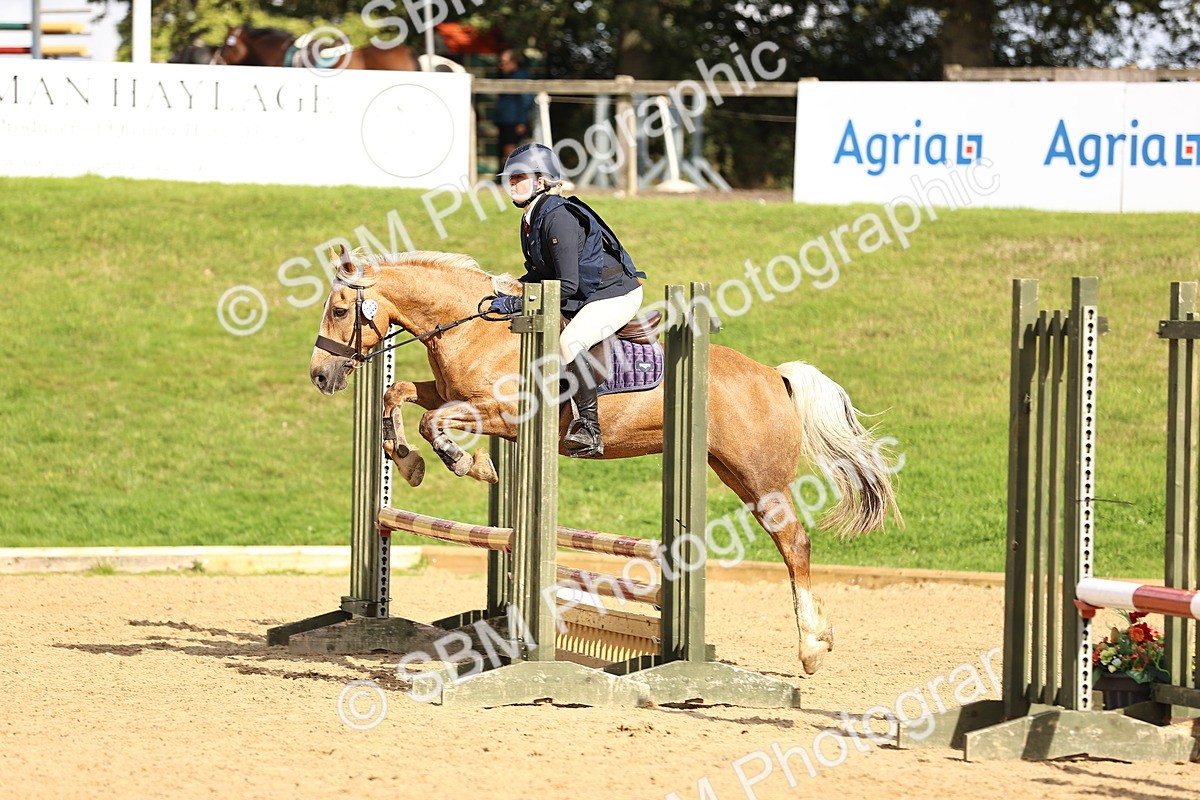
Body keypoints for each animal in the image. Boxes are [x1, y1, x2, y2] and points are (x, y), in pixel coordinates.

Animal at [308, 250, 903, 675]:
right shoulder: (453, 394)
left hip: (761, 479)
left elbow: (435, 424)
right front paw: (406, 461)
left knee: (794, 543)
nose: (320, 375)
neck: (474, 327)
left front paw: (468, 465)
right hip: (729, 470)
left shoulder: (501, 414)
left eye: (339, 310)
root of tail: (773, 375)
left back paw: (811, 647)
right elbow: (399, 395)